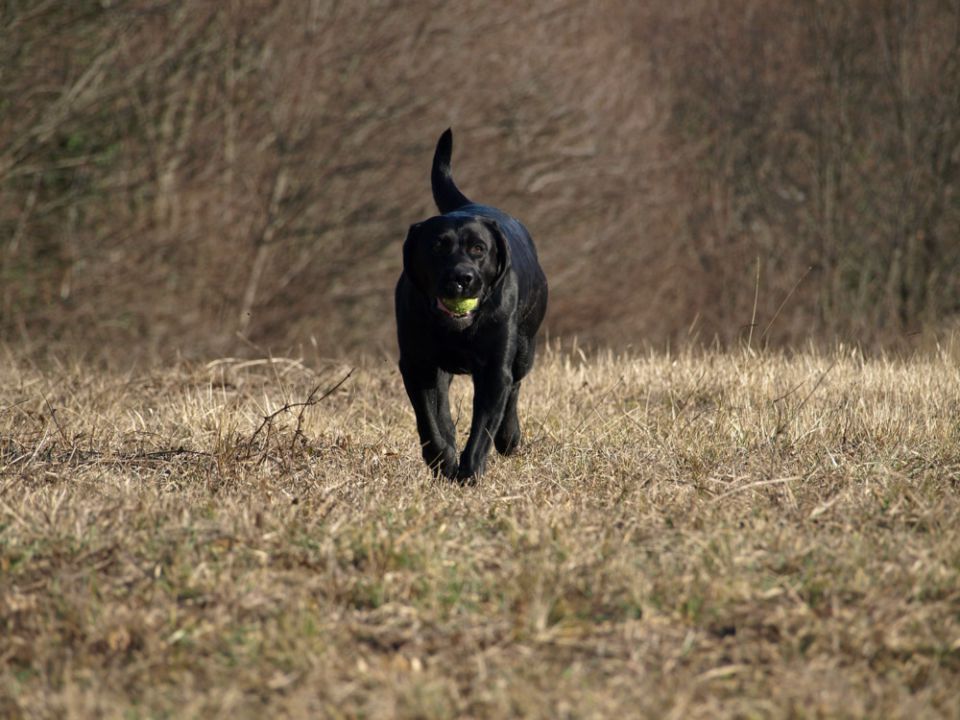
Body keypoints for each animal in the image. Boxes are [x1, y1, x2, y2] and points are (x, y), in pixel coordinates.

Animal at [396, 130, 548, 480]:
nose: (462, 277)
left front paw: (469, 472)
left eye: (479, 249)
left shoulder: (494, 369)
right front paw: (444, 461)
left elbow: (483, 427)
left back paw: (509, 437)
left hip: (524, 349)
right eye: (437, 247)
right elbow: (430, 421)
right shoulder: (416, 364)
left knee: (514, 389)